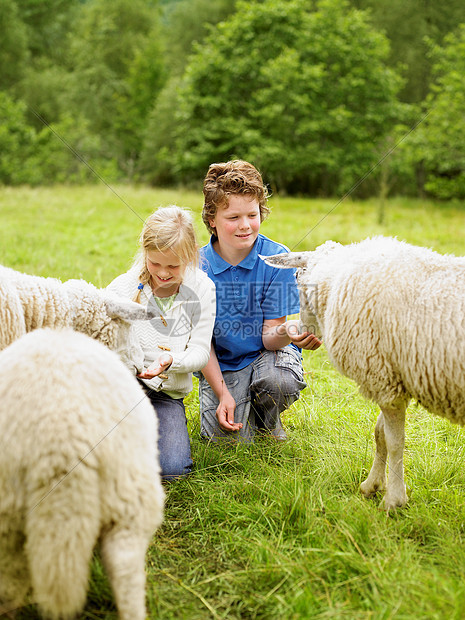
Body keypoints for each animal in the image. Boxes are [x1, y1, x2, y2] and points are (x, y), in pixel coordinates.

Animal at [262, 235, 464, 512]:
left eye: (295, 277)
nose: (301, 329)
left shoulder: (383, 380)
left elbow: (394, 442)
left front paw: (393, 500)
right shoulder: (391, 380)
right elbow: (380, 435)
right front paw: (372, 486)